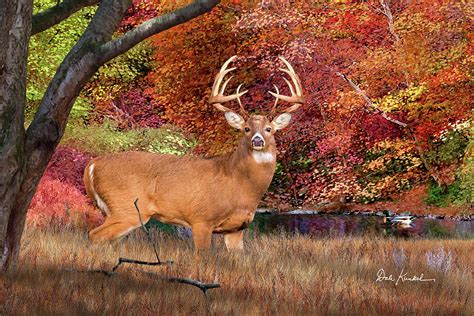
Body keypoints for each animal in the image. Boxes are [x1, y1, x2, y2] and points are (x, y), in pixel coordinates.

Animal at [84, 55, 306, 251]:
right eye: (246, 129)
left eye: (269, 129)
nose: (257, 140)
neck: (239, 185)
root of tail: (92, 165)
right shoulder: (201, 219)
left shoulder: (236, 229)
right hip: (125, 208)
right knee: (94, 235)